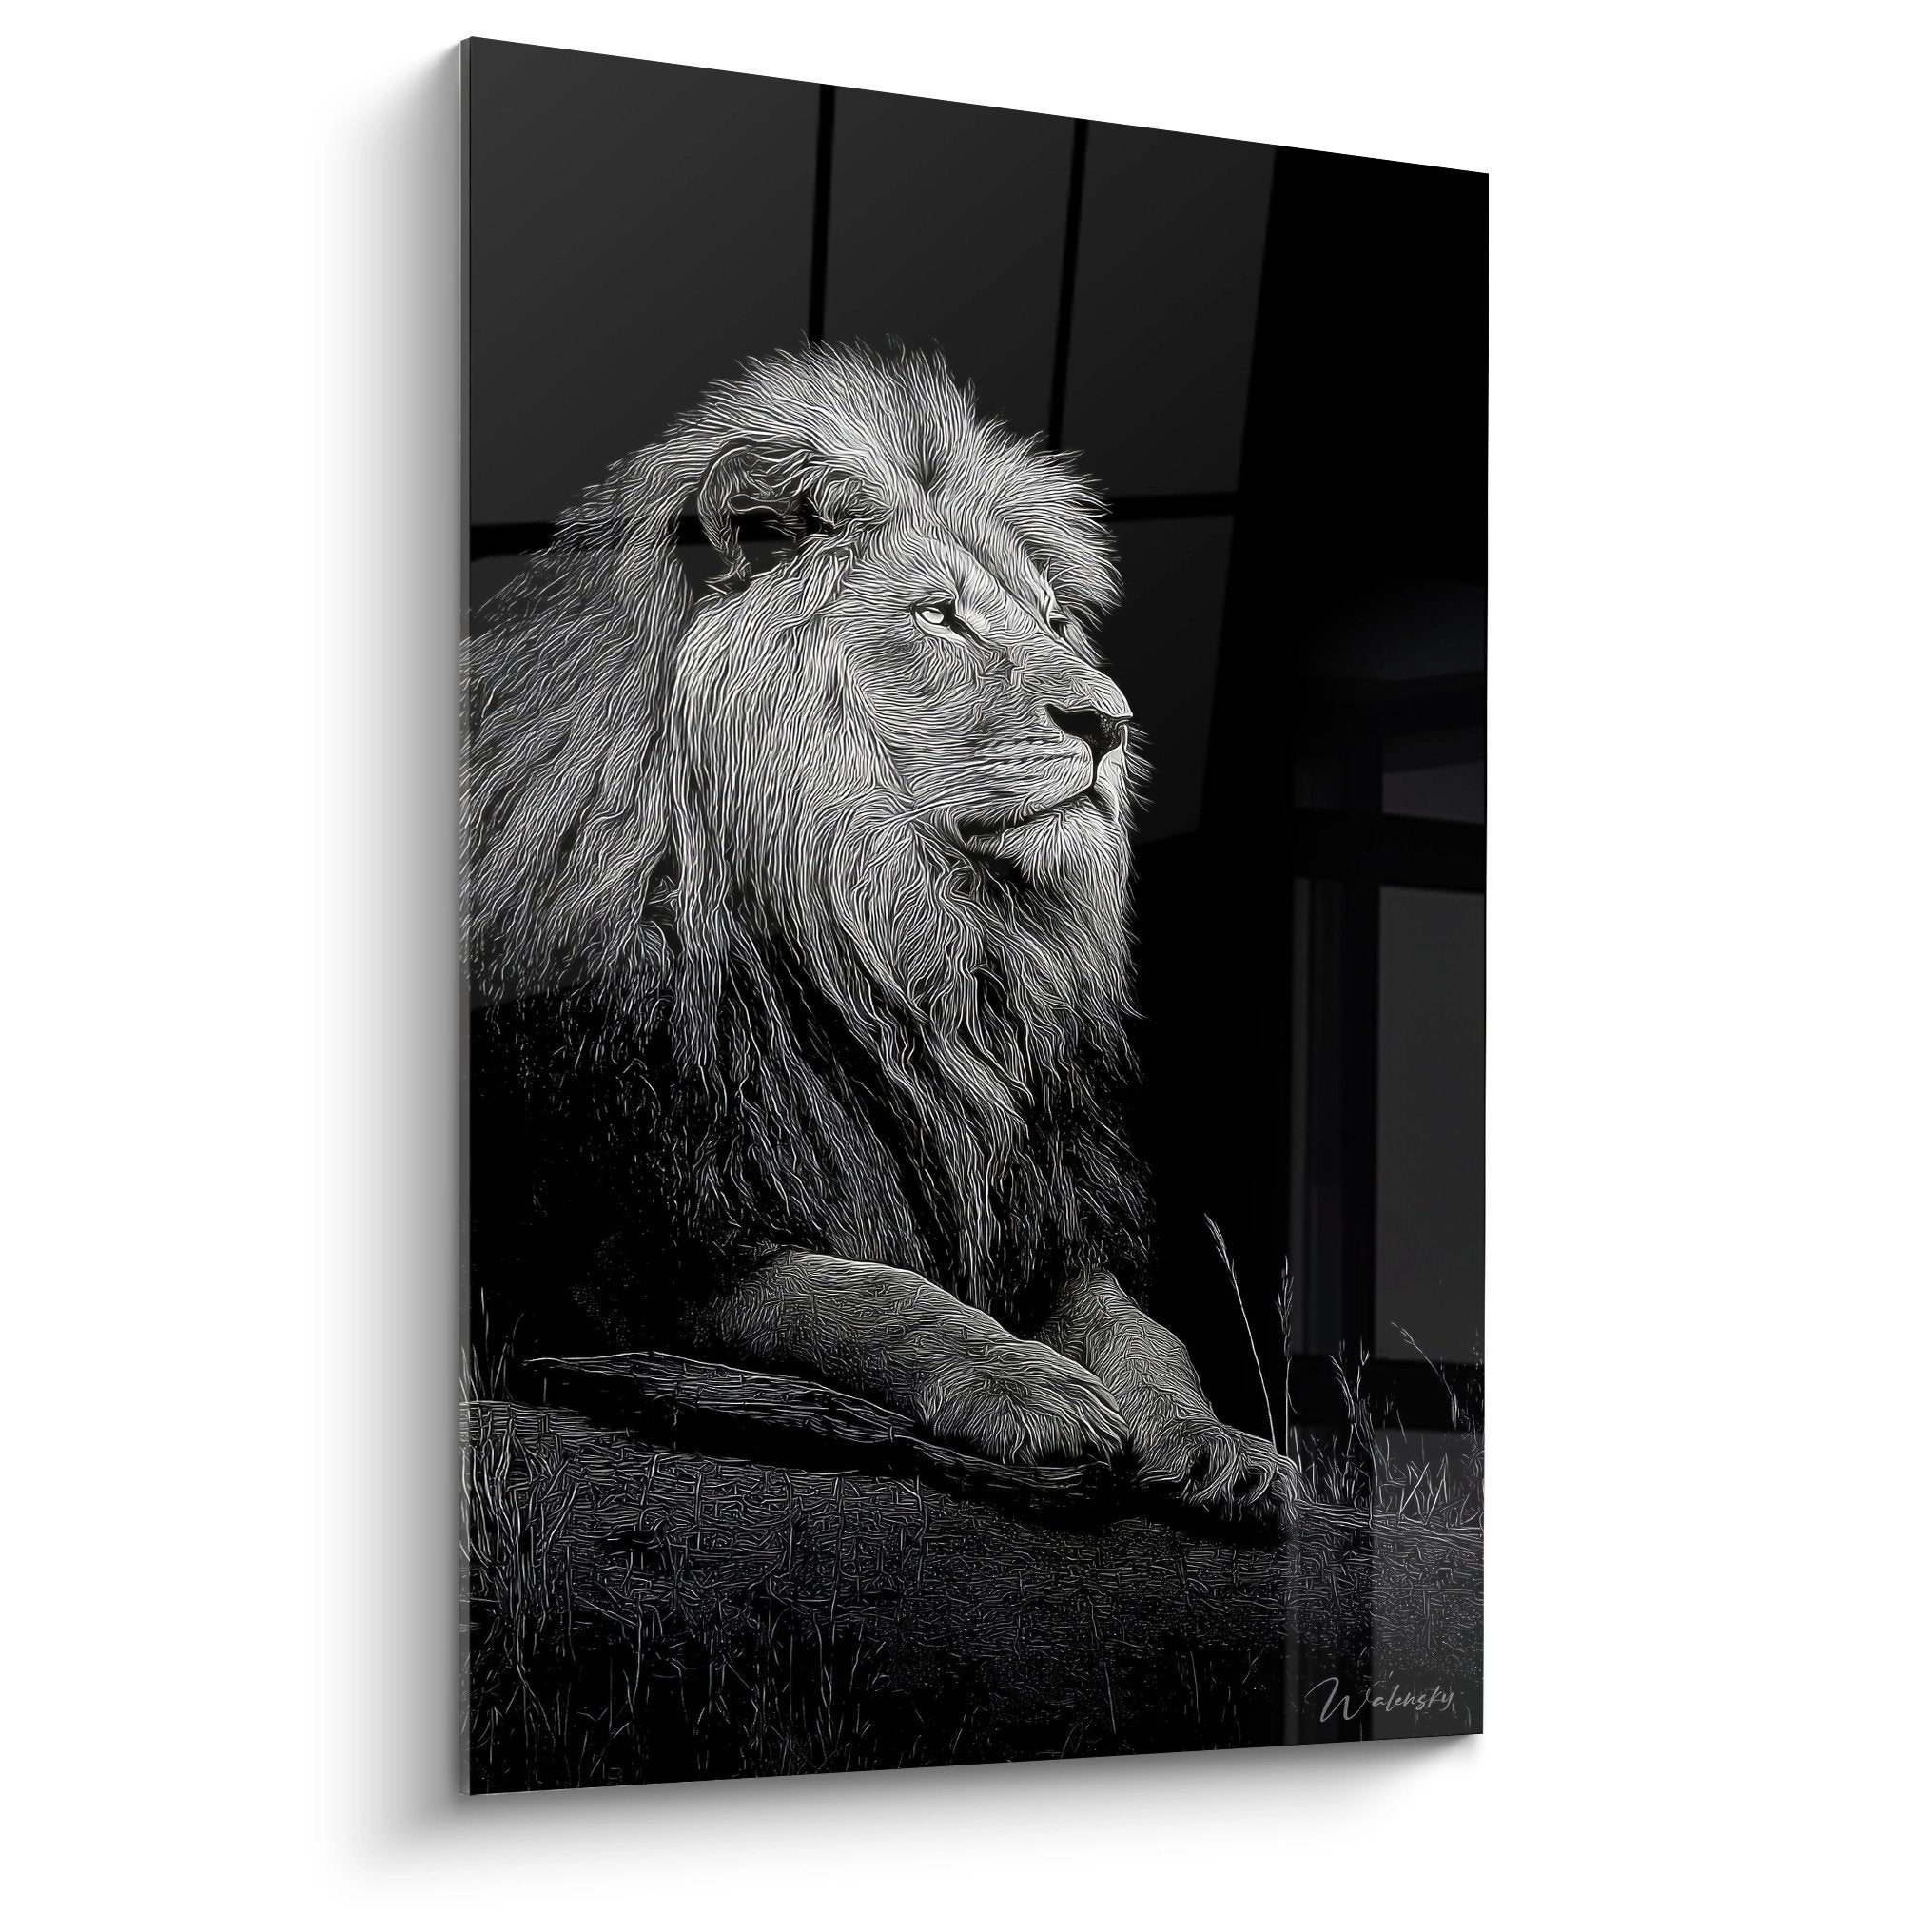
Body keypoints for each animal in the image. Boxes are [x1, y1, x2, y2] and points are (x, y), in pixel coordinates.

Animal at [466, 341, 1287, 1516]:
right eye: (938, 616)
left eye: (1053, 622)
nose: (1112, 722)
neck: (908, 951)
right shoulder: (634, 1234)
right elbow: (862, 1293)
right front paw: (1029, 1385)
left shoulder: (1043, 1209)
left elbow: (1145, 1331)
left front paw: (1218, 1441)